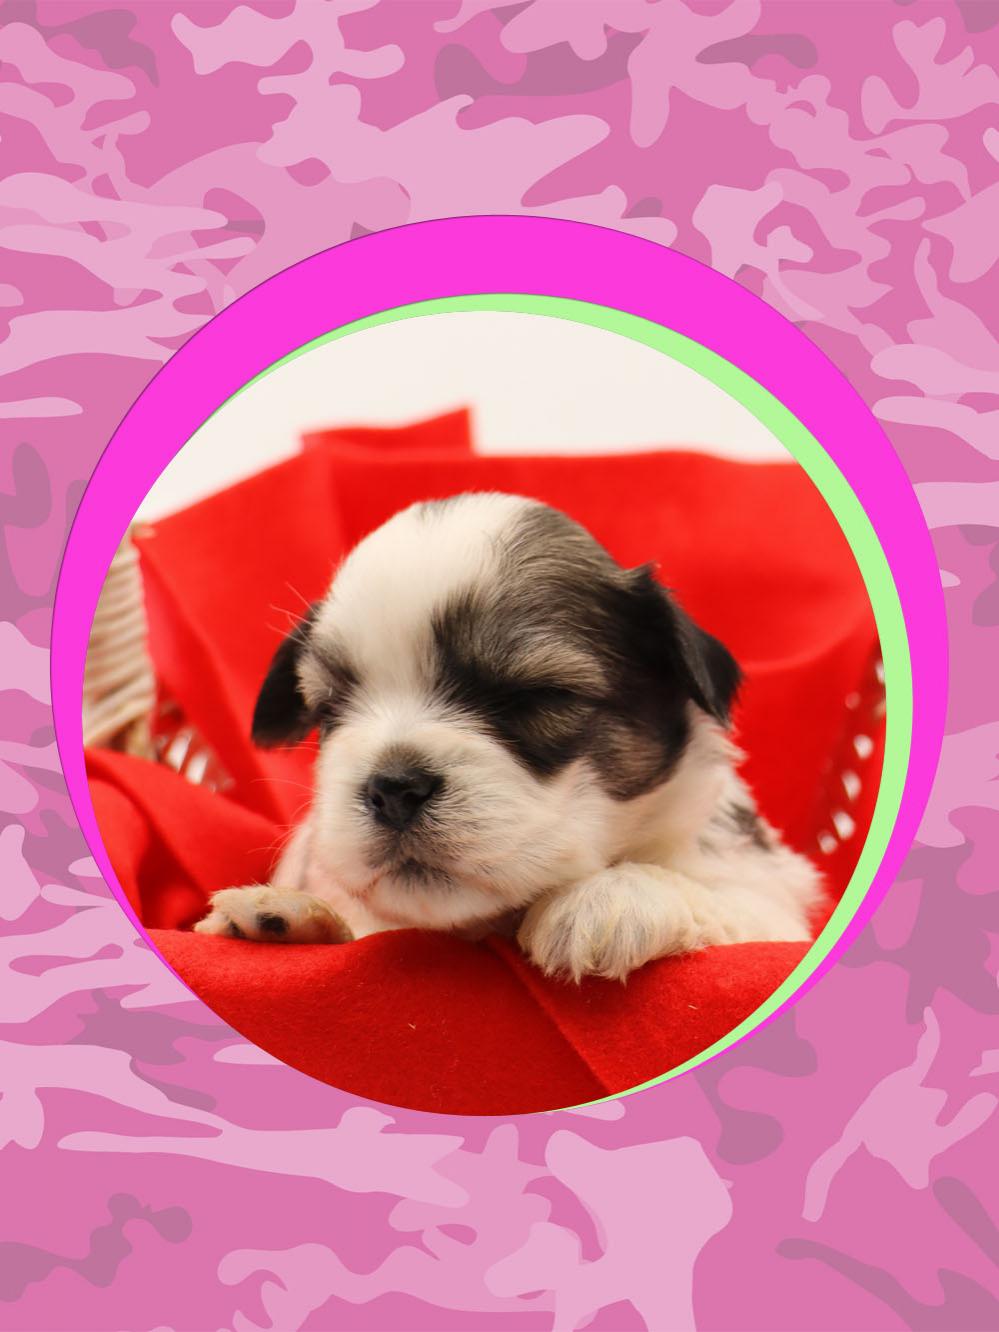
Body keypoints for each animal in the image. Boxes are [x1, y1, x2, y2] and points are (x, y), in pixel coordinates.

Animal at [195, 492, 821, 980]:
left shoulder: (770, 906)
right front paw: (292, 915)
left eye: (532, 698)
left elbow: (724, 899)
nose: (393, 788)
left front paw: (615, 896)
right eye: (330, 710)